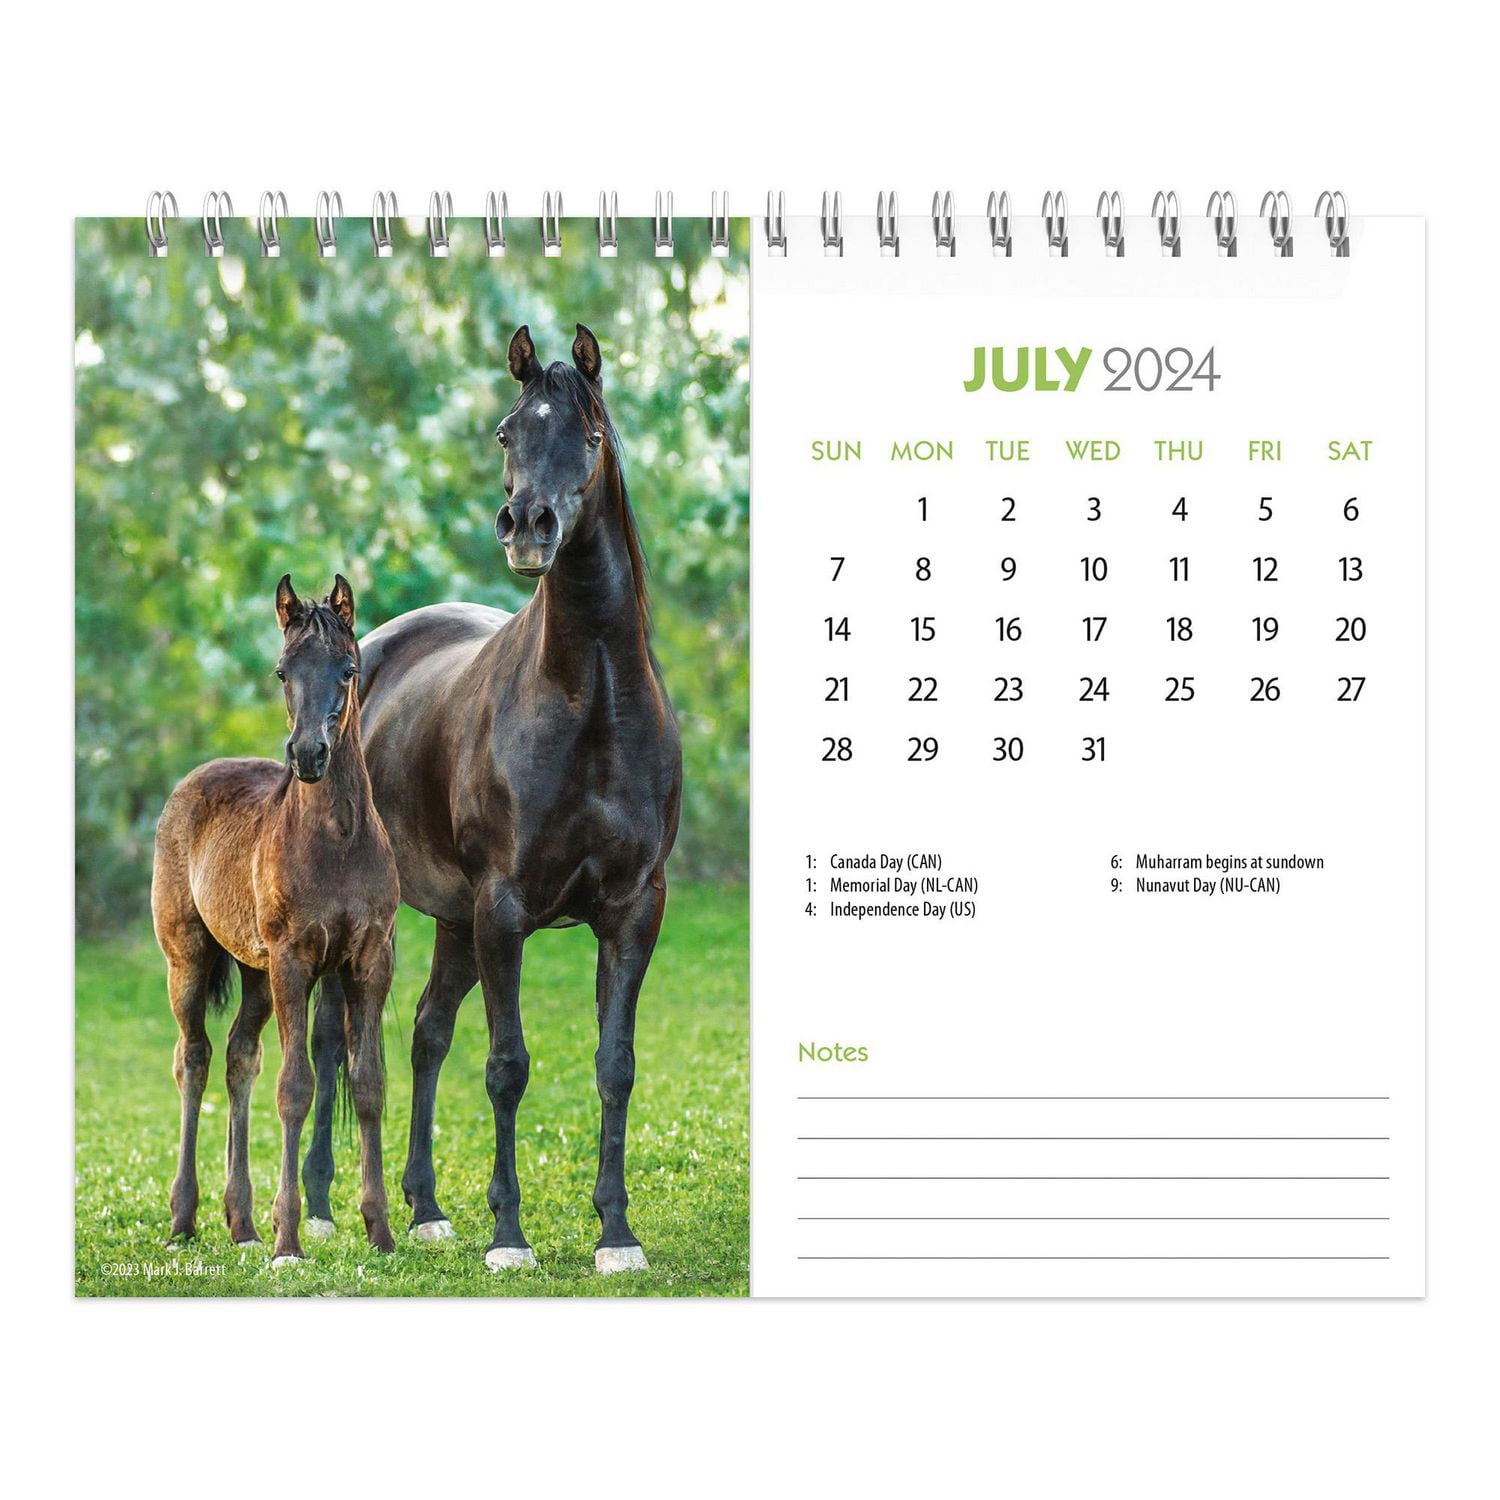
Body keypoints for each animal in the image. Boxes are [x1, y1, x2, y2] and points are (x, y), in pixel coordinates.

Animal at [150, 575, 400, 1266]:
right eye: (283, 670)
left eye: (348, 669)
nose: (309, 754)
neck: (337, 841)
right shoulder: (294, 962)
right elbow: (296, 1088)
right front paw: (289, 1238)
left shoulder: (370, 961)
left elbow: (367, 1083)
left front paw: (381, 1231)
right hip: (188, 959)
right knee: (194, 1057)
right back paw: (185, 1218)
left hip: (255, 973)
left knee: (240, 1058)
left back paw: (241, 1222)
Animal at [305, 324, 682, 1273]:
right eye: (509, 431)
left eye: (588, 433)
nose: (527, 526)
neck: (591, 701)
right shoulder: (504, 909)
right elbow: (507, 1065)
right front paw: (510, 1235)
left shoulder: (634, 910)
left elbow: (615, 1064)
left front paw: (616, 1233)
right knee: (331, 1042)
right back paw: (321, 1207)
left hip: (451, 920)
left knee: (426, 1033)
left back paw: (427, 1209)